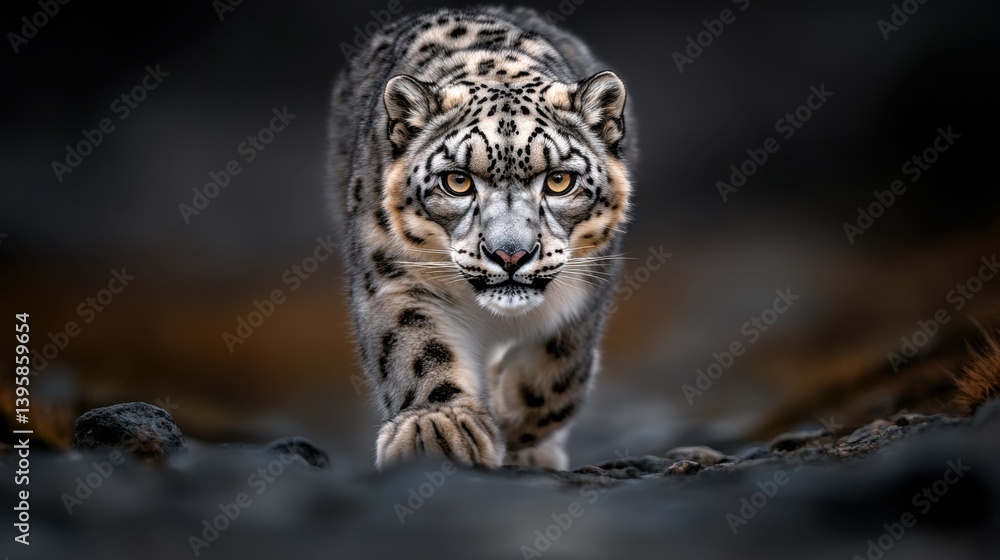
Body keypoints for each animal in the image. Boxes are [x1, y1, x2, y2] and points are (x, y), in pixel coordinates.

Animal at [325, 6, 635, 471]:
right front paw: (440, 427)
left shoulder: (588, 285)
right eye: (457, 181)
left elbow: (560, 369)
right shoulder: (392, 273)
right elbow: (415, 346)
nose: (511, 255)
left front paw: (510, 419)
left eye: (559, 181)